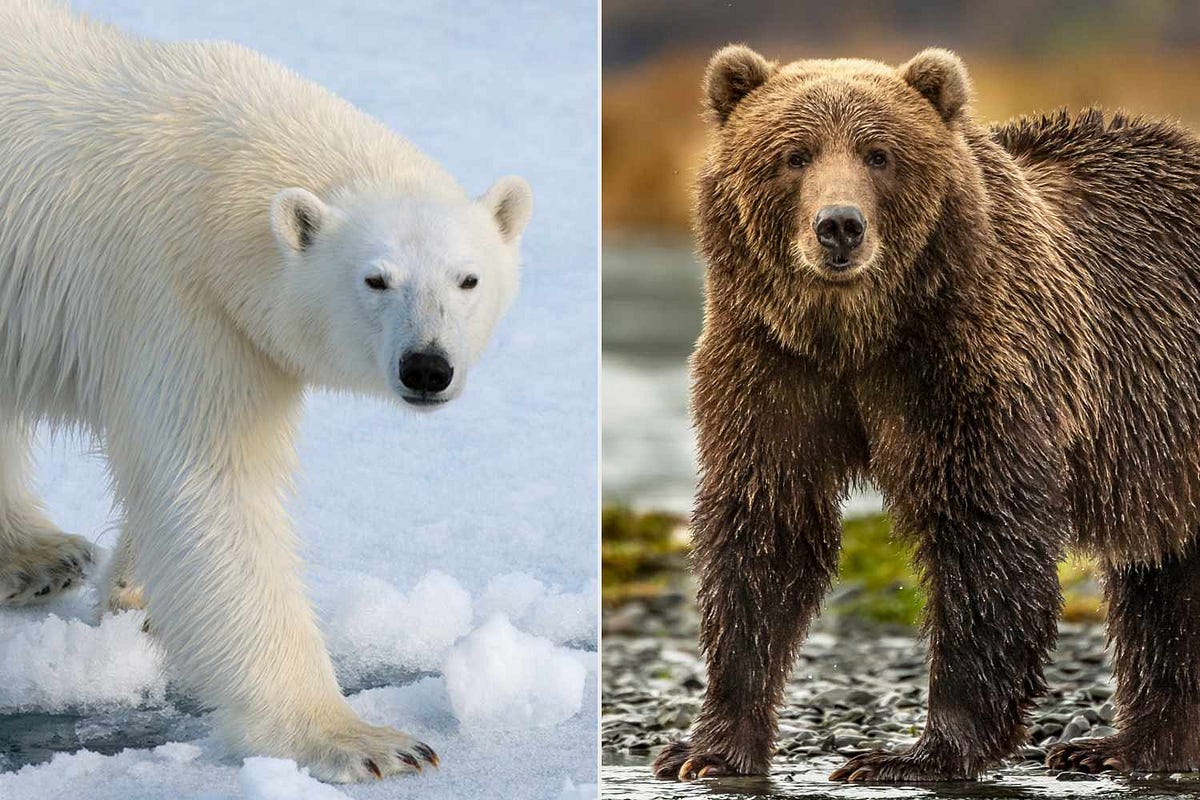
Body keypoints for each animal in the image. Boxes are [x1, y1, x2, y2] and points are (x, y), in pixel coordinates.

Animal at [0, 1, 531, 783]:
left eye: (467, 278)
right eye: (376, 279)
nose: (427, 368)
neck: (223, 174)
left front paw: (135, 592)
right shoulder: (178, 295)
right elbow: (213, 485)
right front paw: (368, 740)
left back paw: (38, 555)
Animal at [653, 43, 1200, 784]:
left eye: (879, 154)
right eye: (795, 154)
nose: (839, 226)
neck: (856, 335)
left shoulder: (963, 364)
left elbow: (983, 534)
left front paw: (911, 753)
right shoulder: (770, 364)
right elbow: (765, 530)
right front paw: (706, 748)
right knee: (1162, 579)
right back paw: (1122, 745)